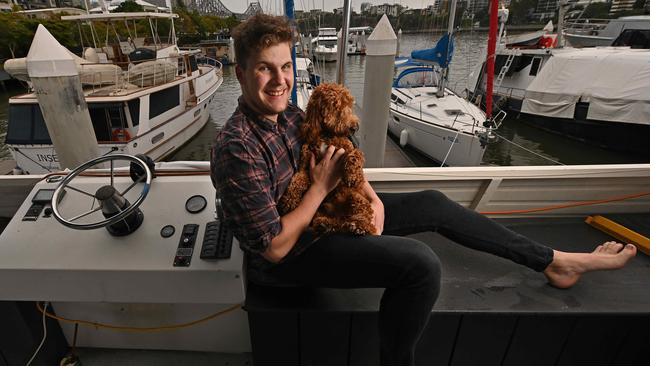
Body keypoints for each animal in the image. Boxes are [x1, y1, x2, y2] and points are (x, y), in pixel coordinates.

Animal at [276, 82, 372, 236]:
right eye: (337, 105)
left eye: (350, 105)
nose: (354, 127)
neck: (327, 135)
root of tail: (341, 215)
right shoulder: (306, 165)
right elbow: (298, 179)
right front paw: (290, 199)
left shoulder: (348, 147)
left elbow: (356, 155)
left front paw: (352, 175)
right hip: (320, 208)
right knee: (335, 223)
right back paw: (325, 224)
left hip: (355, 197)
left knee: (366, 218)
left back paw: (360, 226)